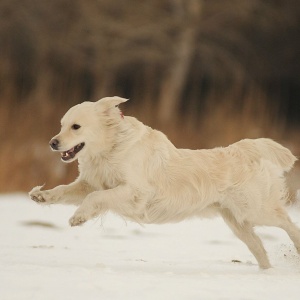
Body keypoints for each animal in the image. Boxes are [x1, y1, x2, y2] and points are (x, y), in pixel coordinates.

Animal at [29, 96, 300, 270]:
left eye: (76, 127)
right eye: (62, 125)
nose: (52, 143)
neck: (111, 147)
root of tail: (245, 148)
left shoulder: (134, 192)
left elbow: (94, 198)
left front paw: (78, 217)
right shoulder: (91, 183)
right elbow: (67, 190)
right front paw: (42, 196)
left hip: (255, 209)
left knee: (287, 222)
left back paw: (296, 249)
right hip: (238, 221)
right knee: (259, 247)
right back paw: (266, 273)